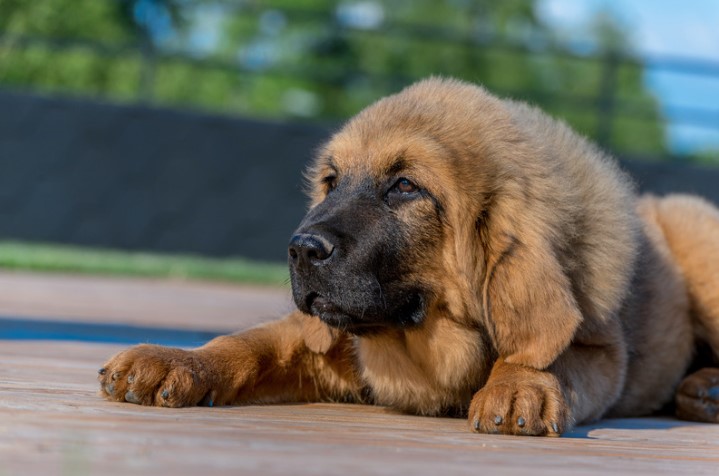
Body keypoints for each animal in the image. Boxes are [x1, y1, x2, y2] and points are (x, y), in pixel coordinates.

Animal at [100, 78, 719, 436]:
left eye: (404, 187)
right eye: (331, 181)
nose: (299, 249)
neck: (422, 345)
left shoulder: (602, 352)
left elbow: (548, 356)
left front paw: (517, 383)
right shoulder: (327, 336)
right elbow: (247, 344)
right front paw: (174, 361)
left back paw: (705, 389)